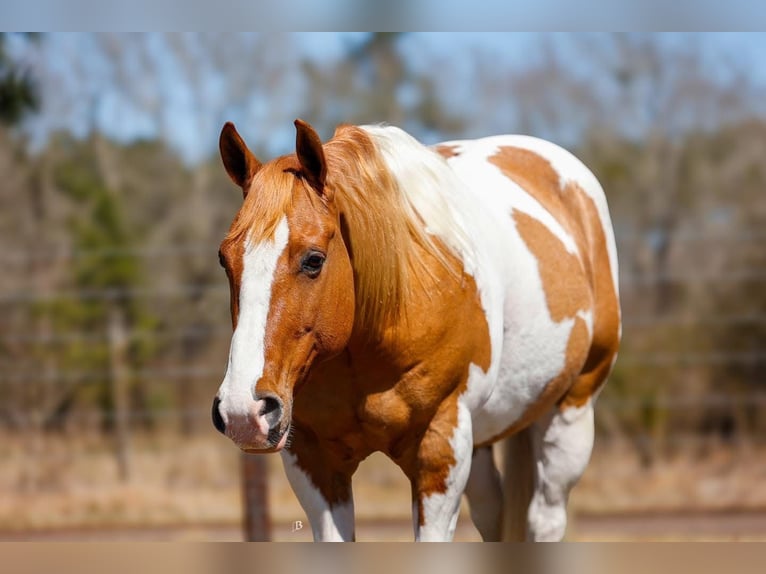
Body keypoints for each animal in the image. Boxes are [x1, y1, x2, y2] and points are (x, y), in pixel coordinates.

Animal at [212, 119, 624, 544]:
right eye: (225, 259)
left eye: (314, 260)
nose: (243, 411)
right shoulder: (313, 458)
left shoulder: (440, 448)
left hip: (570, 413)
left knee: (545, 518)